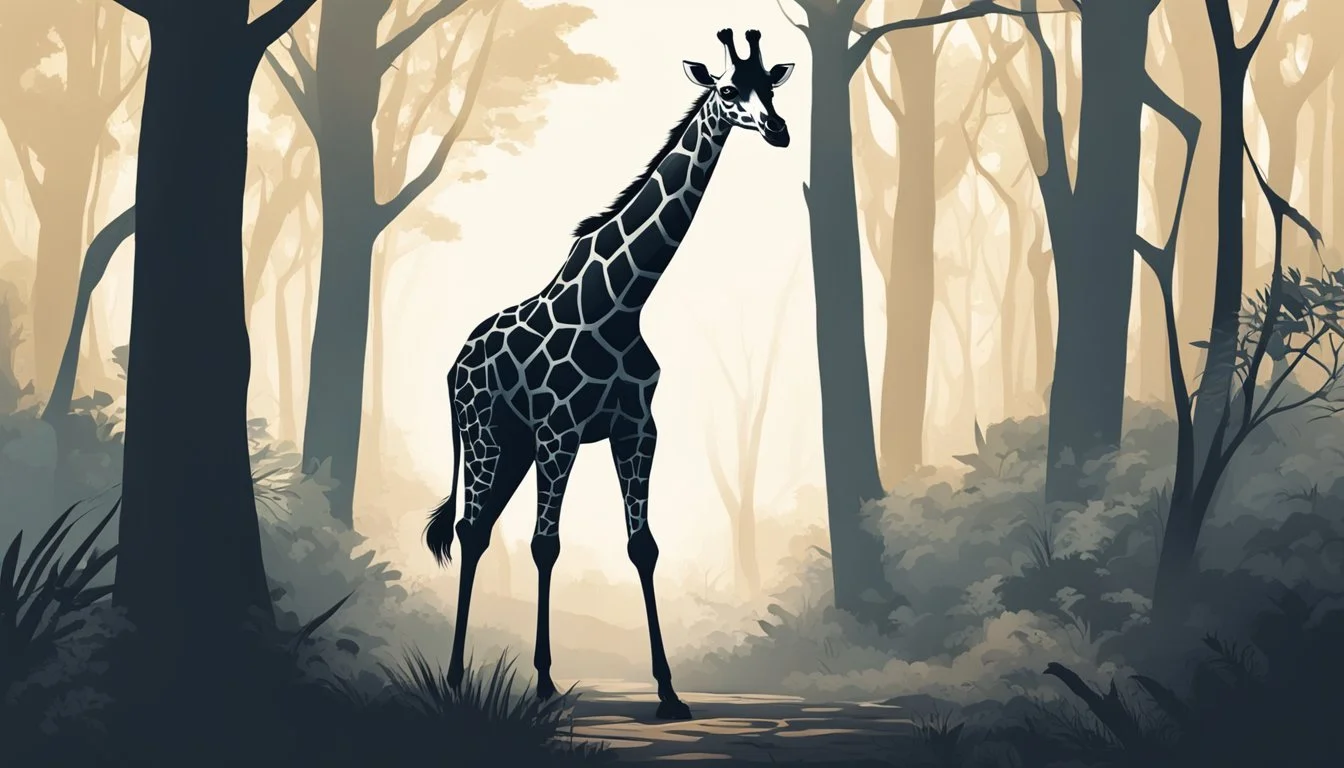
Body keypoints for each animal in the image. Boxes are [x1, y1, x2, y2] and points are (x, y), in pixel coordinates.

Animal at [425, 28, 794, 721]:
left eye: (771, 87)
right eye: (729, 91)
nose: (780, 130)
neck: (621, 302)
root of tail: (453, 365)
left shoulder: (636, 428)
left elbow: (642, 546)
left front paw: (670, 693)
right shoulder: (560, 432)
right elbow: (546, 545)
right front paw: (545, 684)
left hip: (512, 447)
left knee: (478, 529)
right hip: (487, 435)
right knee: (470, 528)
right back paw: (456, 678)